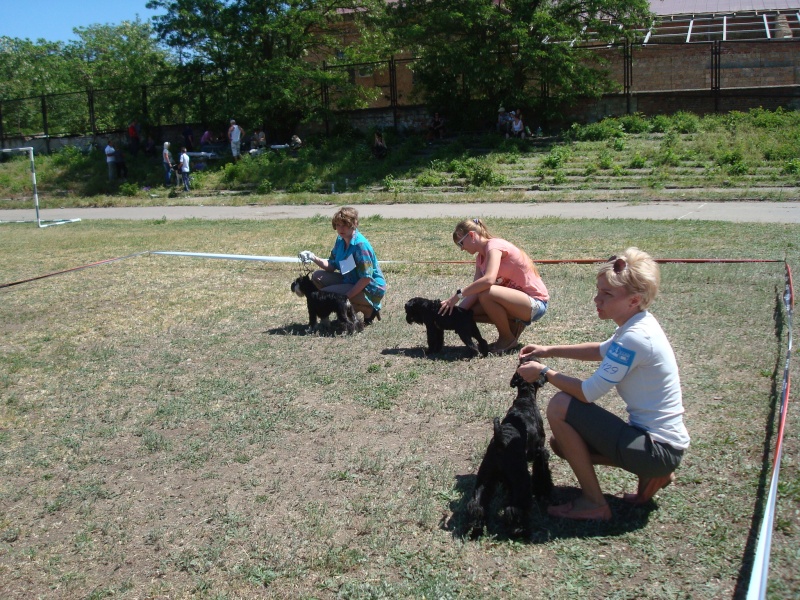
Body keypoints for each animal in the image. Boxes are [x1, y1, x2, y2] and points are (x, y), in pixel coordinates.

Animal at [466, 370, 553, 538]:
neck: (525, 399)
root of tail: (501, 443)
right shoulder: (540, 451)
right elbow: (542, 471)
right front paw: (544, 492)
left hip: (485, 477)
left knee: (477, 504)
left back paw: (478, 528)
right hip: (520, 479)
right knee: (515, 508)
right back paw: (522, 530)